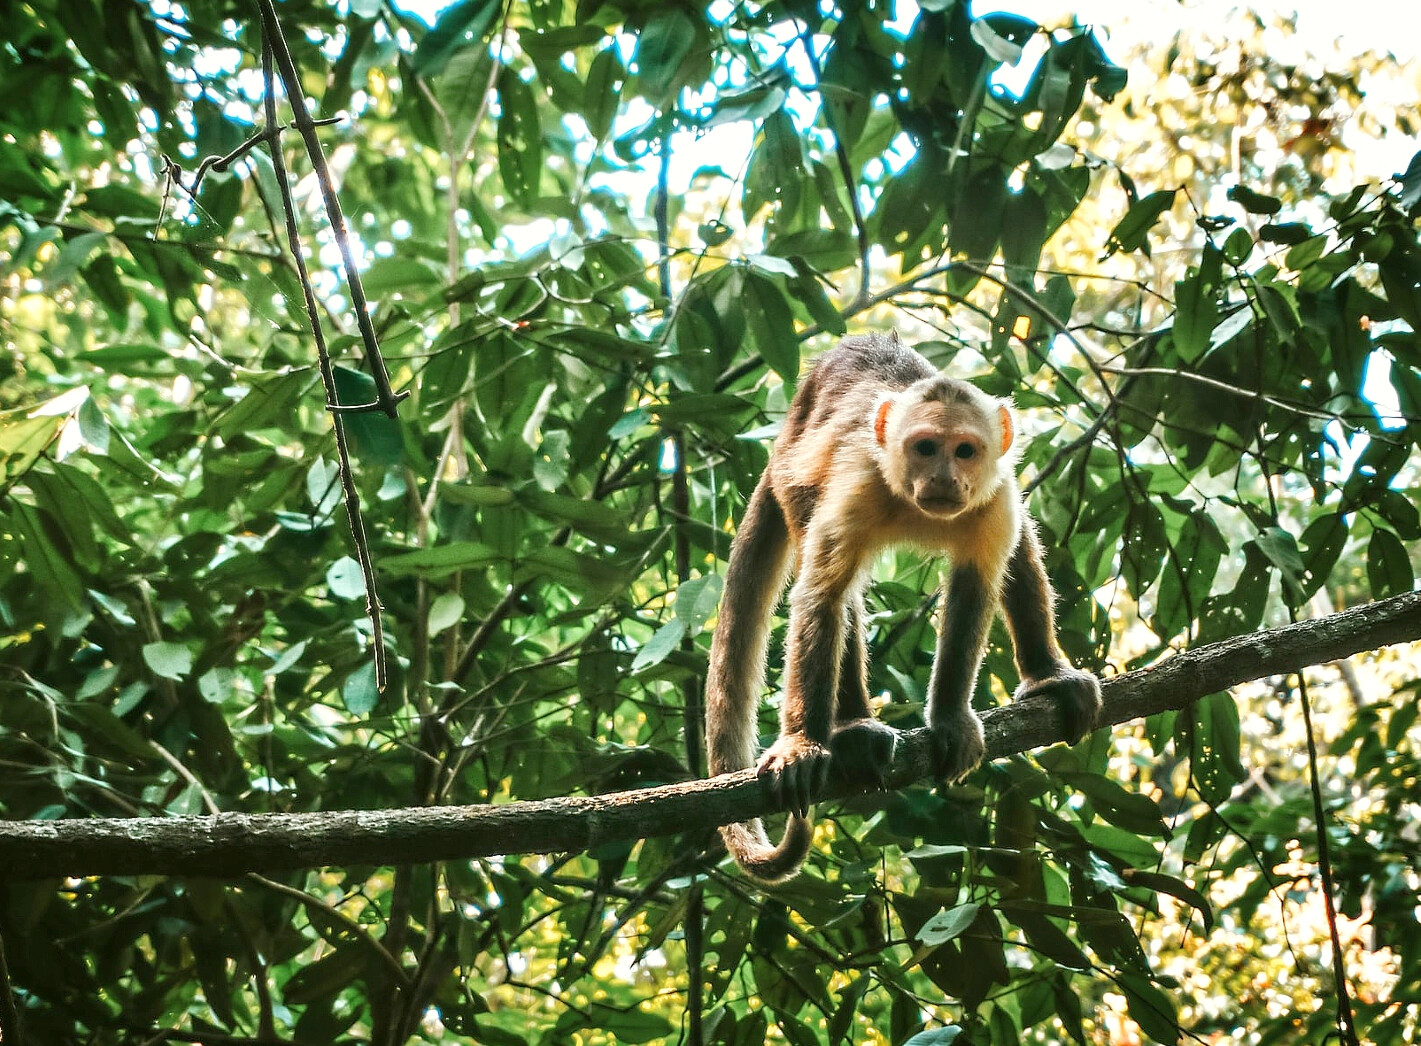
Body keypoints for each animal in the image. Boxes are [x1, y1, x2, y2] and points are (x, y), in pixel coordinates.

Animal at [707, 328, 1097, 881]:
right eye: (926, 448)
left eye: (964, 451)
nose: (942, 478)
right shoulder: (860, 483)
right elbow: (822, 596)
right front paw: (802, 743)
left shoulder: (994, 494)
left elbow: (977, 586)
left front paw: (951, 718)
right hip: (791, 479)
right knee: (835, 587)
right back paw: (851, 728)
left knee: (1019, 545)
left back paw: (1047, 674)